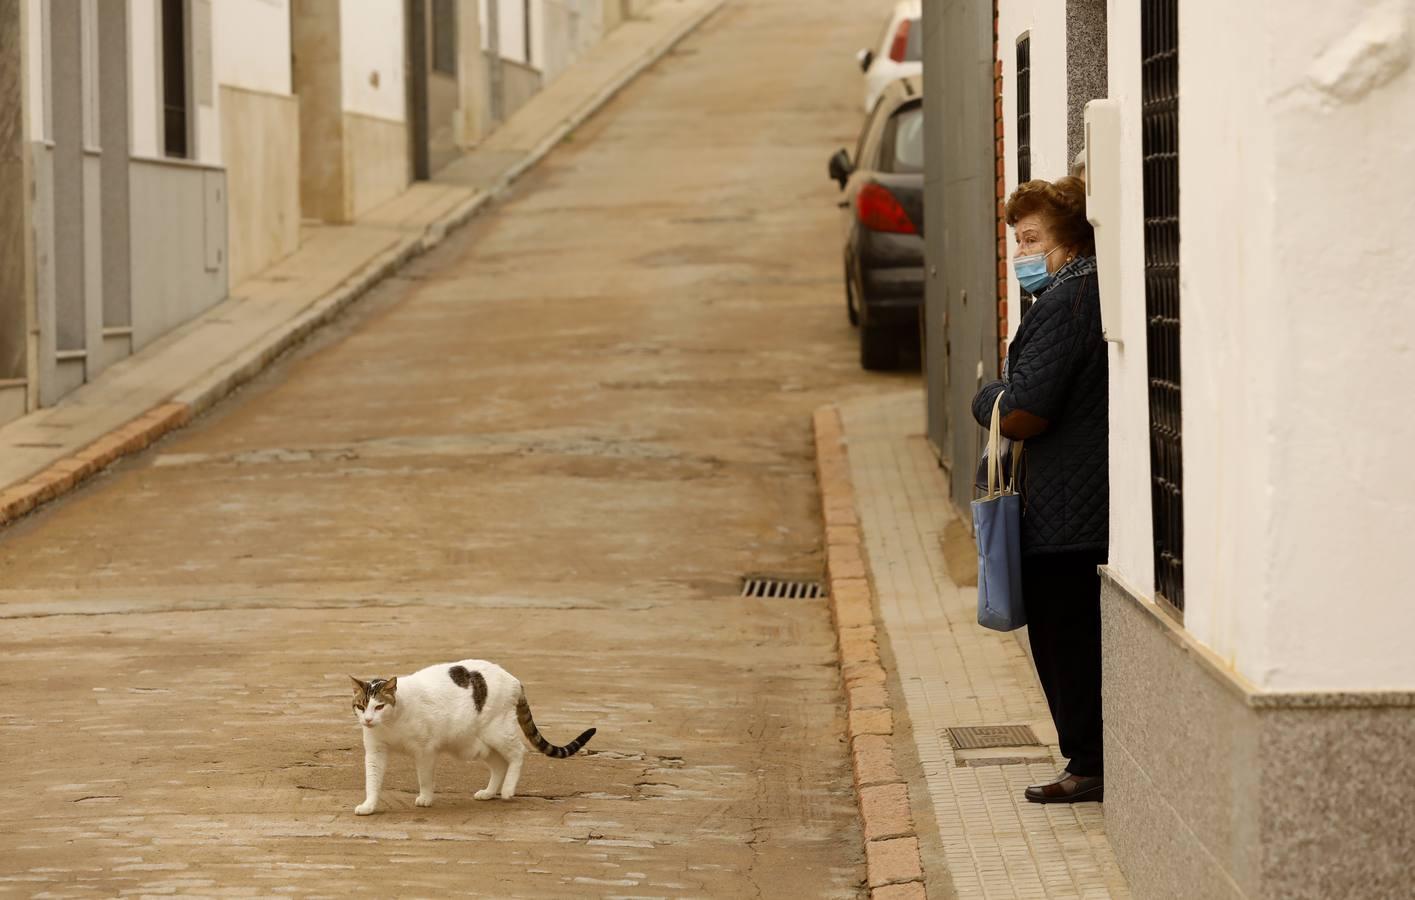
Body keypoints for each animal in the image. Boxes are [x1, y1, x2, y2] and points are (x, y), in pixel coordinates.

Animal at [353, 662, 597, 815]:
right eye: (361, 706)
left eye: (379, 706)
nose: (368, 720)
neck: (390, 723)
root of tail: (514, 679)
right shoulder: (375, 752)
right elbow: (372, 781)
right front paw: (369, 806)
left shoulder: (425, 751)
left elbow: (424, 778)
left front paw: (426, 798)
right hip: (476, 743)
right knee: (499, 765)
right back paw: (489, 792)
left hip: (497, 732)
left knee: (518, 752)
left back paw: (508, 789)